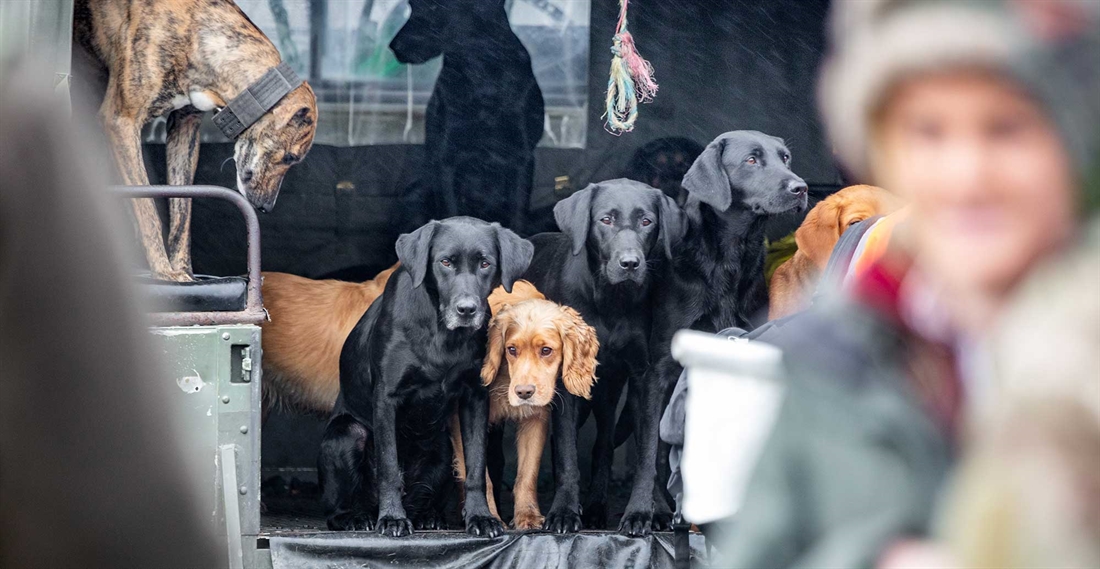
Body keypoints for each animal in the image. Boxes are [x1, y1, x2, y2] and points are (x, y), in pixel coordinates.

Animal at [74, 0, 316, 279]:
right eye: (290, 157)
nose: (266, 207)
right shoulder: (122, 121)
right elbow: (147, 208)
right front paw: (163, 271)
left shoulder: (185, 128)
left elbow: (182, 209)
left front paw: (182, 271)